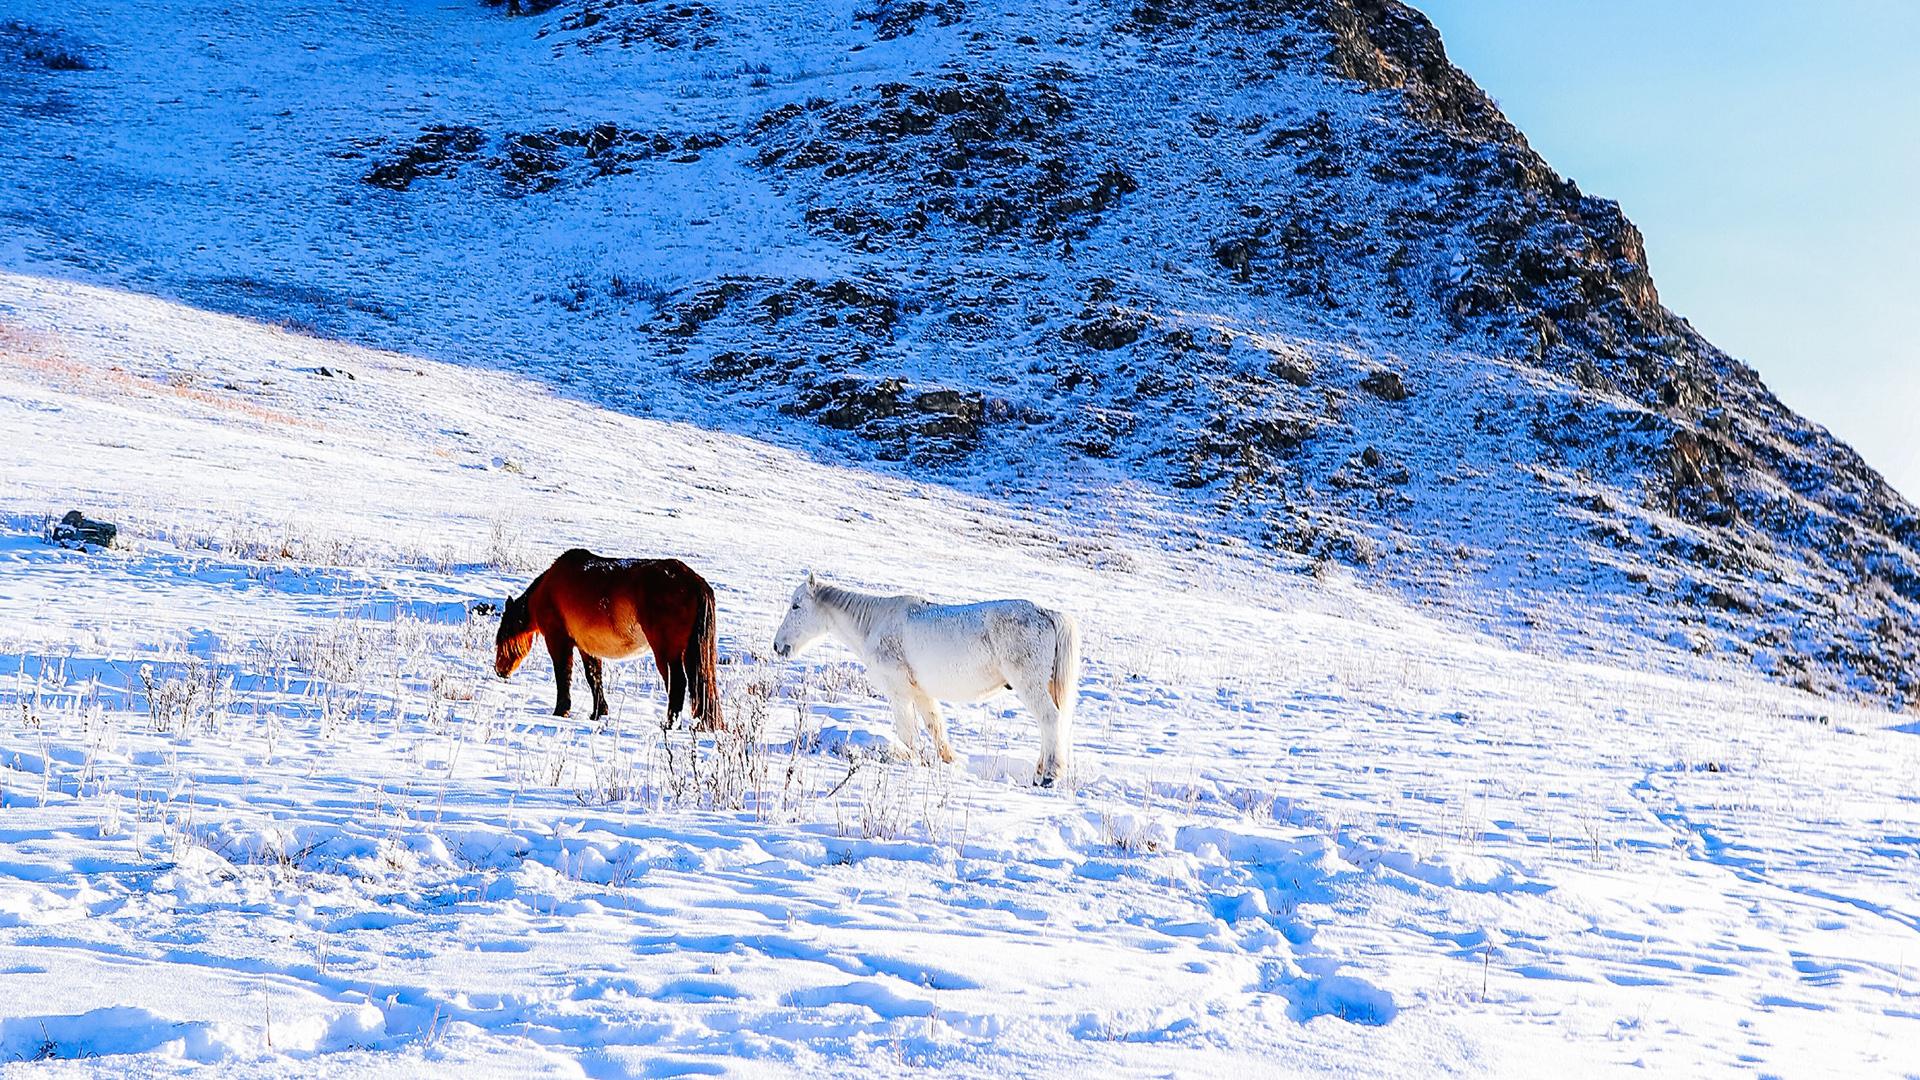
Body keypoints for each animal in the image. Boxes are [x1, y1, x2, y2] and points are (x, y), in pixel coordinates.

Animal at [495, 545, 725, 730]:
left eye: (502, 638)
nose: (500, 671)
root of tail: (695, 582)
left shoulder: (557, 640)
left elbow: (563, 675)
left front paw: (561, 711)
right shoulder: (586, 646)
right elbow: (594, 677)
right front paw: (598, 712)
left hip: (667, 652)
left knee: (677, 684)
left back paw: (669, 724)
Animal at [775, 572, 1082, 780]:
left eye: (796, 606)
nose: (779, 646)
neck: (875, 623)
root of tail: (1047, 613)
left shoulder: (899, 694)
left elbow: (908, 735)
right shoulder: (922, 694)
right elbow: (936, 729)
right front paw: (948, 762)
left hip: (1029, 684)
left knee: (1049, 719)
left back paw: (1050, 775)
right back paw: (1040, 772)